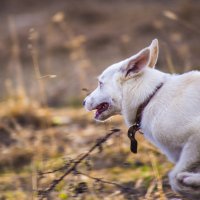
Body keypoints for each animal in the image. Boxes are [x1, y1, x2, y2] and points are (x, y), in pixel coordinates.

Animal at [83, 39, 200, 198]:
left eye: (100, 84)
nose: (83, 102)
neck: (149, 98)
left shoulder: (195, 138)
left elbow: (174, 178)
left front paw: (188, 186)